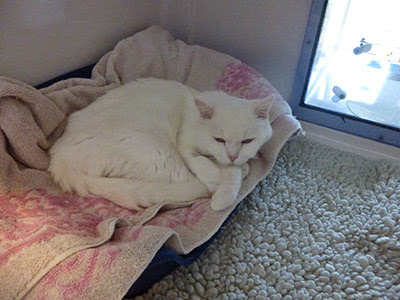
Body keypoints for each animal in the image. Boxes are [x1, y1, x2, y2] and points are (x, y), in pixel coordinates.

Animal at [46, 78, 272, 210]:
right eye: (219, 139)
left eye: (247, 141)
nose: (233, 156)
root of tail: (59, 162)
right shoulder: (184, 145)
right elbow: (207, 166)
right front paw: (220, 187)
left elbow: (231, 169)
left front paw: (237, 169)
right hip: (157, 152)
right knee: (190, 182)